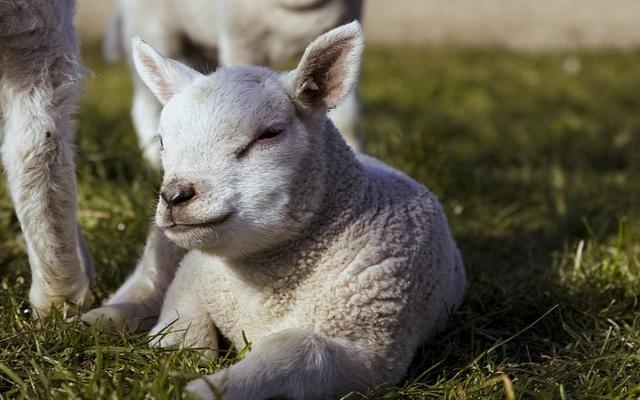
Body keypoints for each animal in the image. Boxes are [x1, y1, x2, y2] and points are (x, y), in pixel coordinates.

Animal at [86, 21, 467, 399]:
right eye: (162, 142)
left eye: (269, 134)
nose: (175, 195)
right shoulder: (192, 275)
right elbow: (180, 325)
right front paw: (174, 356)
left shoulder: (373, 355)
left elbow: (292, 348)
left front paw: (204, 388)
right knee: (146, 282)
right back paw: (97, 319)